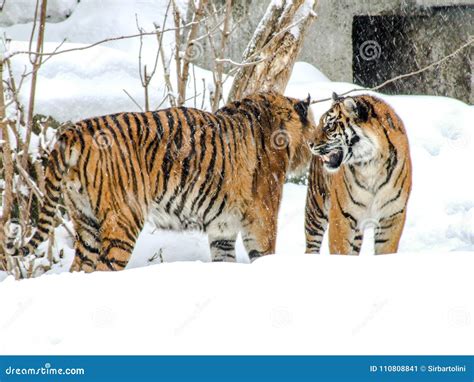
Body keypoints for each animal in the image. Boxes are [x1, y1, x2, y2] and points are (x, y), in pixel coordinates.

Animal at [5, 92, 316, 272]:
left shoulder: (223, 227)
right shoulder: (261, 216)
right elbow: (264, 254)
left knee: (80, 268)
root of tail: (75, 131)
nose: (315, 145)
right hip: (123, 220)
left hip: (86, 222)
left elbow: (224, 260)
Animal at [308, 92, 412, 254]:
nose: (309, 143)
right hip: (315, 208)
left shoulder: (392, 216)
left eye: (330, 126)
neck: (370, 165)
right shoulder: (342, 216)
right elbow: (340, 250)